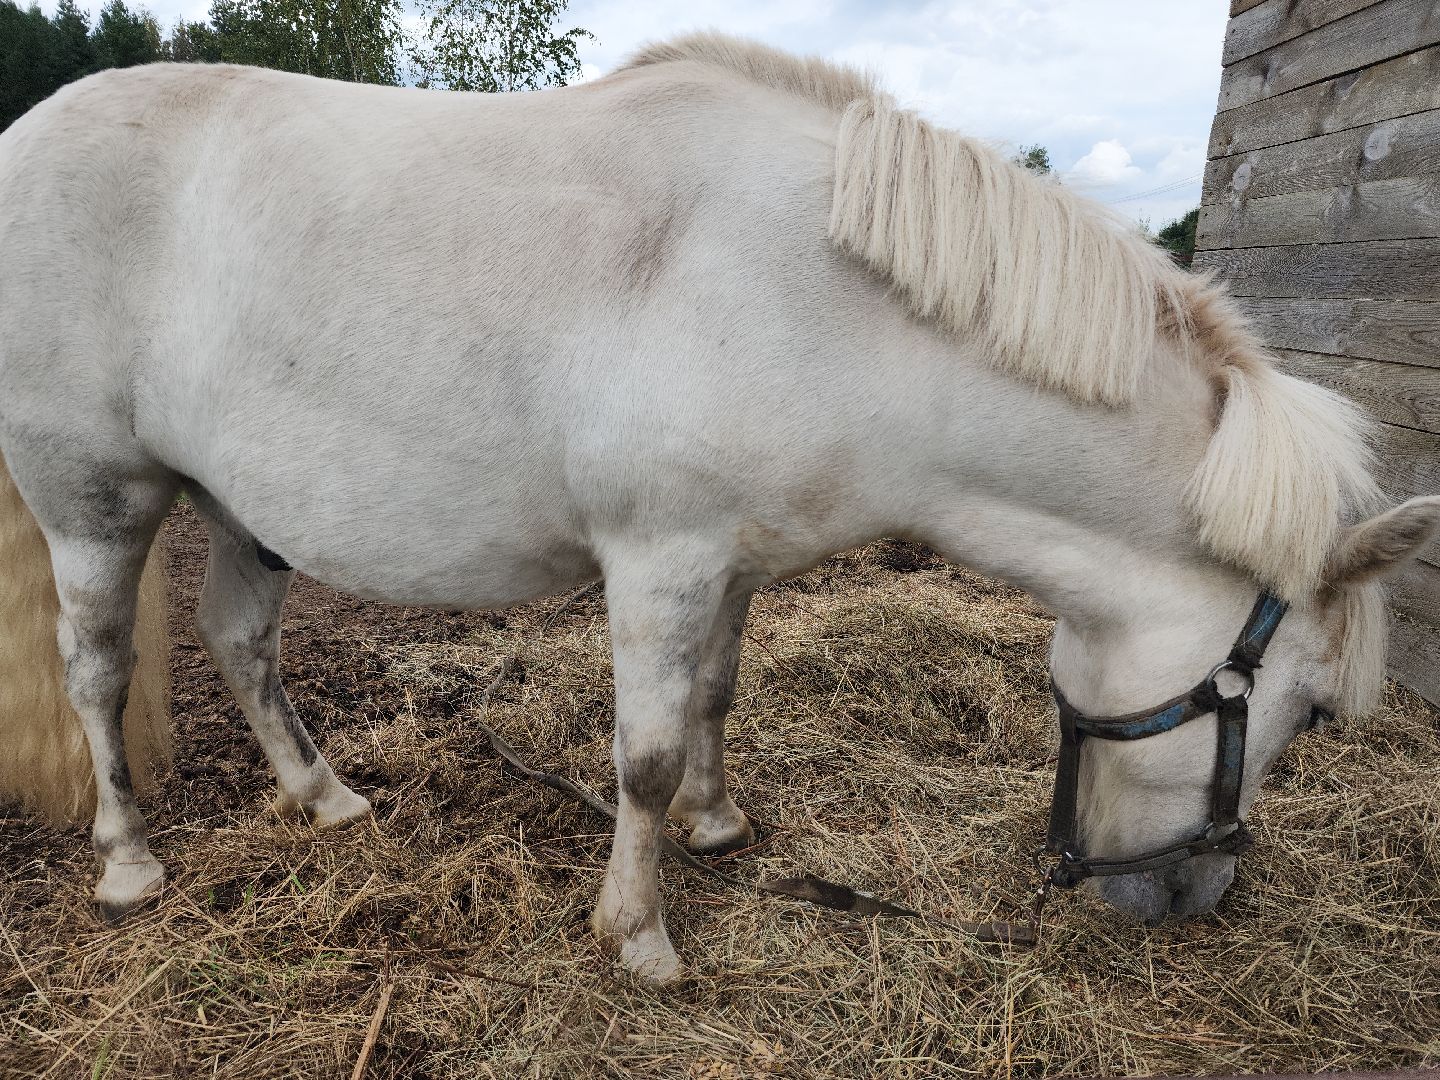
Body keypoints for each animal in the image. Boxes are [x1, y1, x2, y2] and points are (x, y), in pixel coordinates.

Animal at [0, 32, 1434, 983]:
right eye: (1307, 710)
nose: (1193, 897)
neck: (817, 297)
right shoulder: (660, 562)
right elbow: (637, 749)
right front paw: (639, 936)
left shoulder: (732, 566)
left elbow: (714, 699)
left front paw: (715, 823)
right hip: (96, 499)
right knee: (99, 668)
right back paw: (129, 860)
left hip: (240, 503)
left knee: (241, 639)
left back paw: (326, 797)